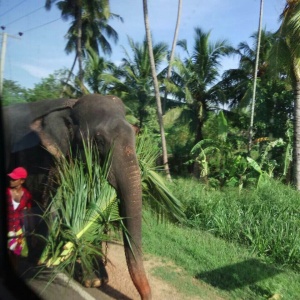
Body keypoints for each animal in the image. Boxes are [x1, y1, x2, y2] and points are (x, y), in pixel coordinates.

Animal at [2, 94, 152, 300]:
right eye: (99, 140)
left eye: (135, 135)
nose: (147, 297)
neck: (72, 104)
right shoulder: (40, 155)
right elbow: (49, 202)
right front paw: (41, 259)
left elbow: (93, 211)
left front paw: (96, 280)